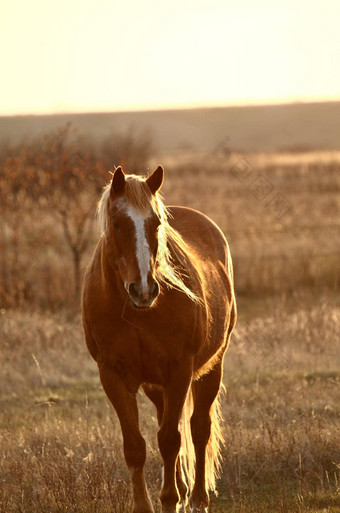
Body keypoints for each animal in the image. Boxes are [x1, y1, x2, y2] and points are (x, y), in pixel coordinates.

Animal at [81, 165, 236, 512]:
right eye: (117, 223)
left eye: (156, 224)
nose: (144, 289)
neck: (137, 313)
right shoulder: (112, 375)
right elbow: (135, 445)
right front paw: (147, 504)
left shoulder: (179, 370)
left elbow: (170, 439)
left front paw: (170, 500)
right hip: (155, 385)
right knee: (168, 419)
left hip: (211, 368)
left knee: (198, 428)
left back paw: (197, 497)